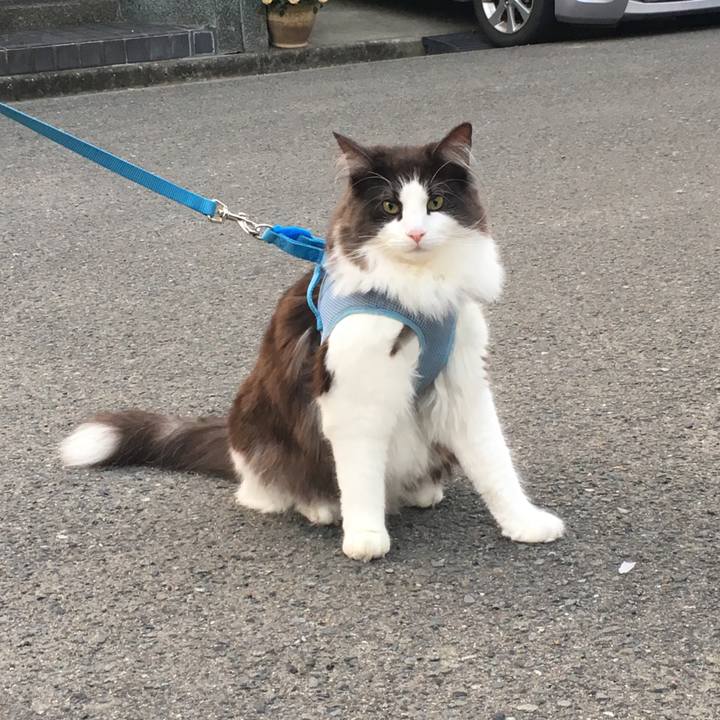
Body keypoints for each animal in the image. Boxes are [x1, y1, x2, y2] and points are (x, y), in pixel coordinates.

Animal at [60, 123, 565, 561]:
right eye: (390, 207)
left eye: (436, 202)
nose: (417, 232)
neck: (414, 290)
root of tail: (233, 444)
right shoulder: (351, 393)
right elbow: (359, 474)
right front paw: (365, 536)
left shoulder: (462, 385)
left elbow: (494, 461)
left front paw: (524, 521)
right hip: (262, 428)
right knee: (269, 490)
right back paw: (319, 505)